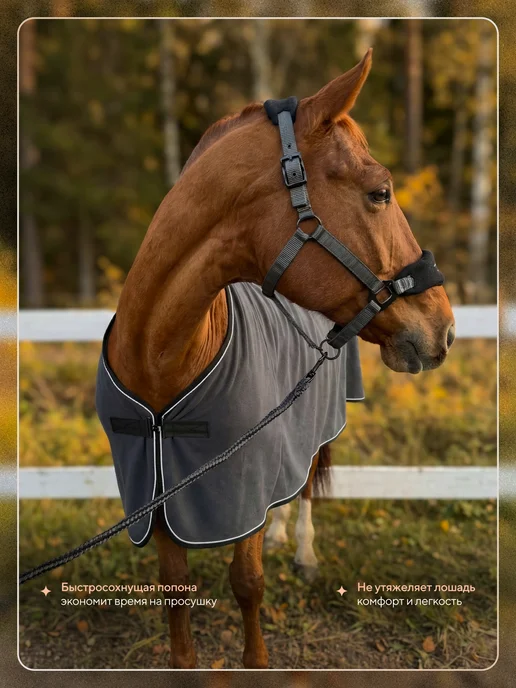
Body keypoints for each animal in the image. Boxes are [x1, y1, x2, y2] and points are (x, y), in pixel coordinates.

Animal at [101, 49, 454, 669]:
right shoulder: (157, 495)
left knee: (308, 480)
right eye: (380, 193)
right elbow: (176, 595)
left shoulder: (243, 473)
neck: (160, 361)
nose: (444, 326)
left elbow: (248, 582)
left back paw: (304, 552)